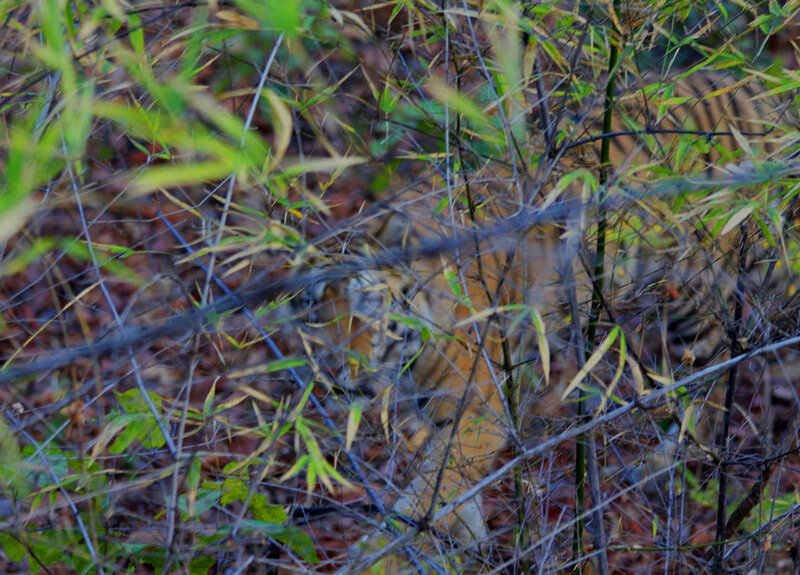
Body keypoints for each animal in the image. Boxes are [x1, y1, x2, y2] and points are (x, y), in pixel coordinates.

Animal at [292, 69, 798, 568]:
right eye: (314, 312)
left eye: (364, 310)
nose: (332, 372)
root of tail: (759, 89)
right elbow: (451, 492)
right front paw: (470, 543)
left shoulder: (478, 412)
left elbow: (425, 497)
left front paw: (379, 554)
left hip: (696, 296)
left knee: (715, 382)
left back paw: (657, 467)